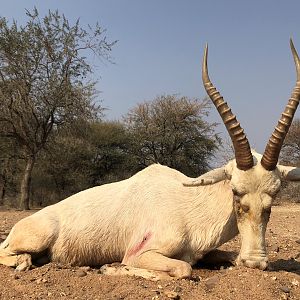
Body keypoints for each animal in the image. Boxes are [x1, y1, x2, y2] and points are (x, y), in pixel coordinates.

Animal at [0, 40, 300, 282]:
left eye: (274, 195)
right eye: (236, 192)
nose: (256, 262)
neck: (188, 202)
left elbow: (225, 258)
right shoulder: (142, 252)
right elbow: (182, 269)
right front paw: (110, 268)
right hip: (36, 236)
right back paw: (24, 261)